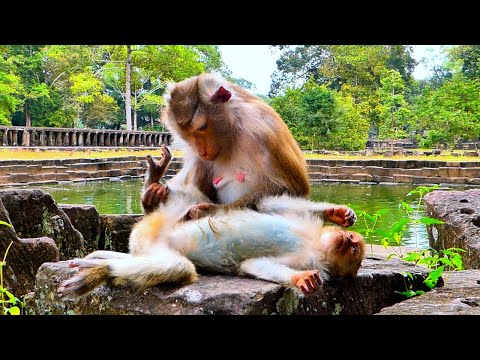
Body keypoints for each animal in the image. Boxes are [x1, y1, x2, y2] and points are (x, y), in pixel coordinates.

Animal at [141, 72, 310, 218]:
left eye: (202, 127)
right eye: (185, 135)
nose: (201, 151)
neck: (232, 130)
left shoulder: (263, 128)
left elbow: (290, 188)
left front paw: (212, 211)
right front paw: (153, 196)